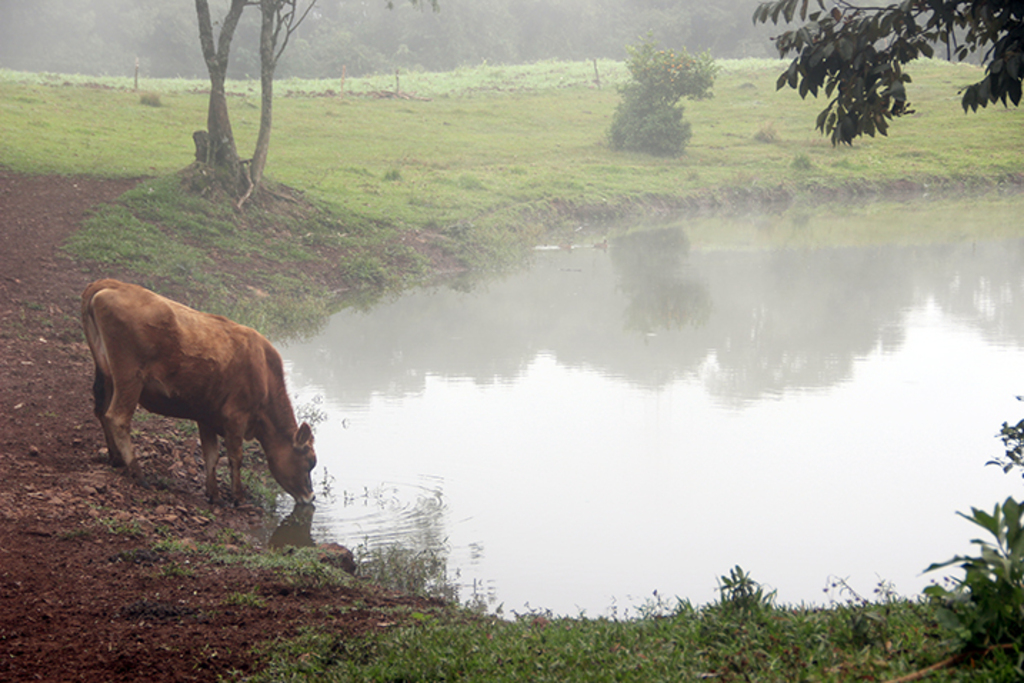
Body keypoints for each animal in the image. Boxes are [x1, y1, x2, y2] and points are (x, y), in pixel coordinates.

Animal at [81, 278, 315, 507]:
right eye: (309, 462)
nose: (311, 497)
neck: (264, 373)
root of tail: (110, 284)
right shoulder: (235, 417)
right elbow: (235, 457)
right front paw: (238, 497)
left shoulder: (207, 417)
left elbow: (211, 456)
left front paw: (214, 494)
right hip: (129, 378)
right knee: (117, 417)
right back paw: (138, 473)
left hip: (106, 374)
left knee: (101, 411)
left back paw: (116, 458)